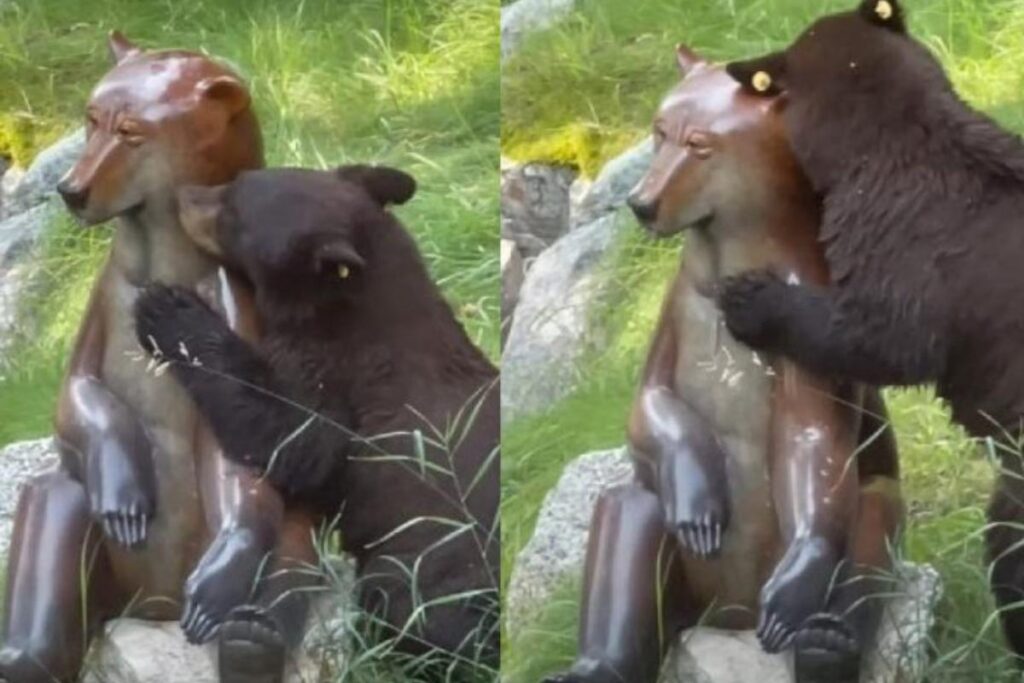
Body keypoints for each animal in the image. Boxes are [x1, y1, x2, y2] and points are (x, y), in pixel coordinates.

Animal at [132, 165, 500, 672]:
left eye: (233, 212)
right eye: (237, 182)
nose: (184, 194)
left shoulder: (350, 387)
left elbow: (295, 439)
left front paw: (167, 309)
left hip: (431, 565)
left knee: (406, 603)